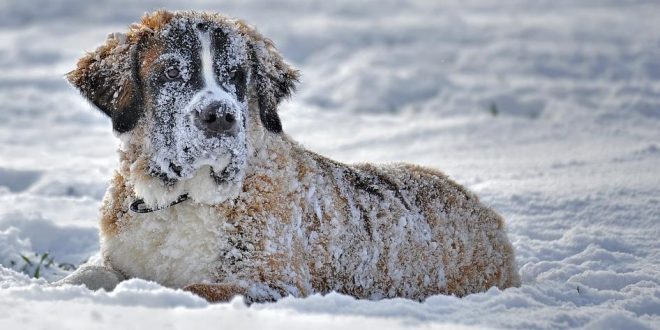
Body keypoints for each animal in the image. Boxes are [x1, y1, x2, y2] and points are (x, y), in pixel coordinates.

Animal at [56, 10, 520, 302]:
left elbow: (192, 288)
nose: (220, 116)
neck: (179, 200)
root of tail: (486, 213)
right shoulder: (117, 257)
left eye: (237, 76)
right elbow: (85, 276)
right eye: (171, 72)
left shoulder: (271, 283)